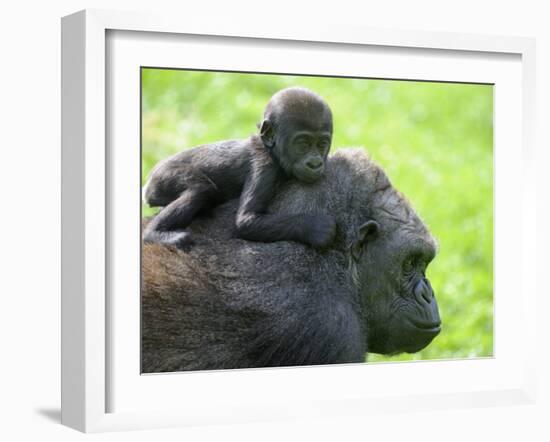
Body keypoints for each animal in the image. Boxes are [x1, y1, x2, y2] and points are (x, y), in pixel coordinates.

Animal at [142, 87, 336, 249]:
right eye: (303, 144)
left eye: (322, 144)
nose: (315, 163)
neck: (270, 149)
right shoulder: (264, 168)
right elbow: (246, 221)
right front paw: (315, 227)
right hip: (163, 175)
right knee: (200, 189)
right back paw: (156, 234)